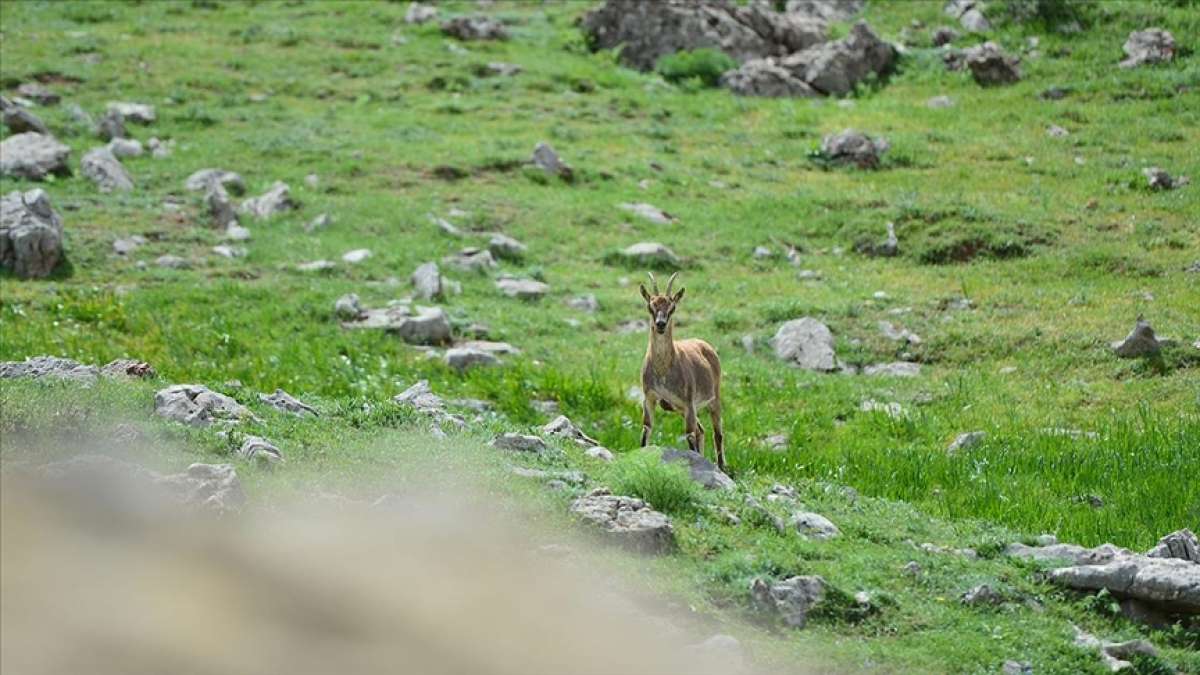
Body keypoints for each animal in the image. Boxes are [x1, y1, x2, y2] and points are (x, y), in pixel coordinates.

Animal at [633, 270, 724, 470]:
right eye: (650, 306)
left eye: (672, 307)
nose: (660, 324)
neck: (663, 370)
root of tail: (706, 346)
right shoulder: (650, 397)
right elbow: (646, 429)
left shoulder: (688, 402)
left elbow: (689, 435)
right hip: (682, 408)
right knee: (701, 430)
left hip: (712, 399)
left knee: (717, 433)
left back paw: (722, 468)